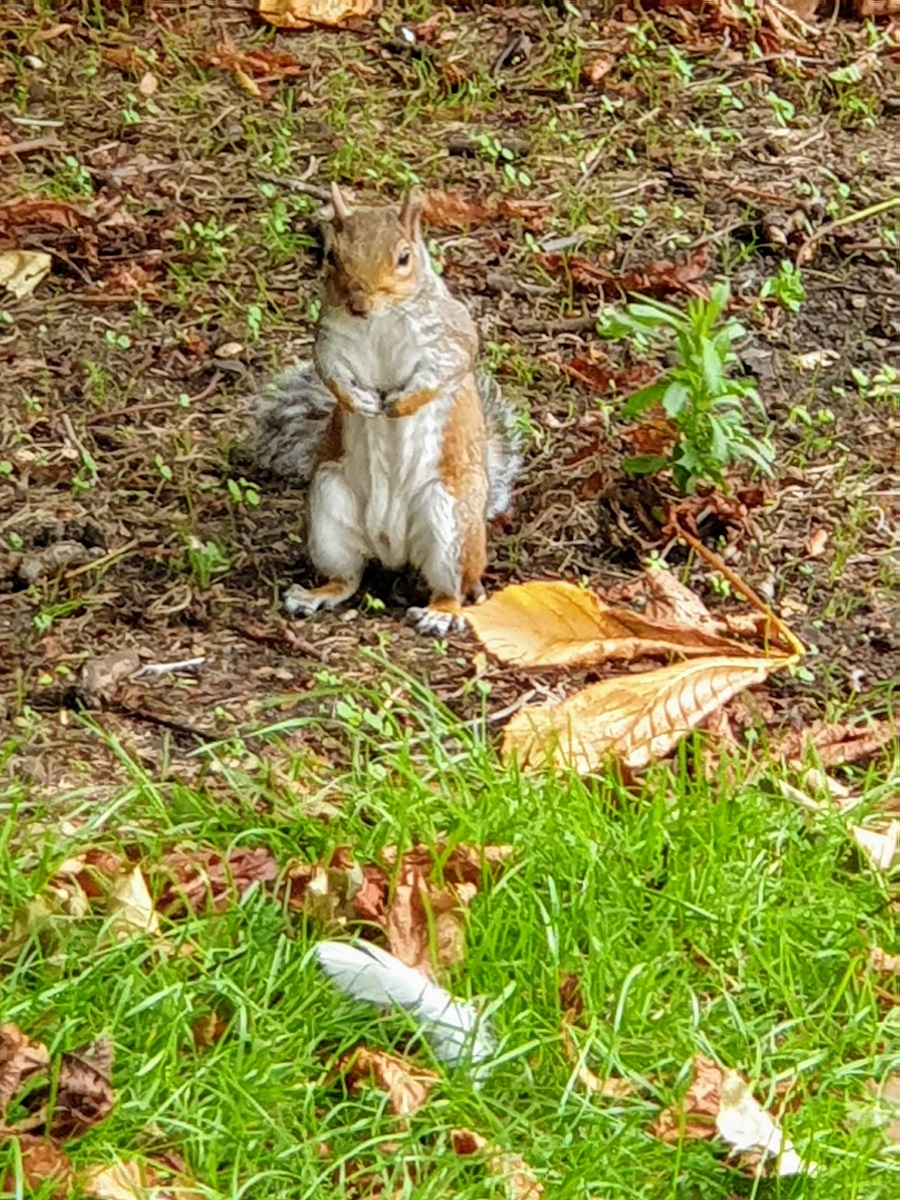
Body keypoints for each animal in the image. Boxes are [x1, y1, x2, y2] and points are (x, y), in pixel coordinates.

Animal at [250, 183, 521, 636]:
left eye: (404, 258)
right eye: (331, 255)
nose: (359, 303)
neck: (377, 320)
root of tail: (392, 548)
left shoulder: (449, 335)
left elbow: (445, 368)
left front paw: (399, 404)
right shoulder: (329, 340)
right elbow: (331, 373)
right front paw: (358, 402)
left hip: (449, 523)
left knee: (452, 588)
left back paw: (439, 613)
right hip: (327, 509)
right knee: (348, 577)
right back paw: (316, 594)